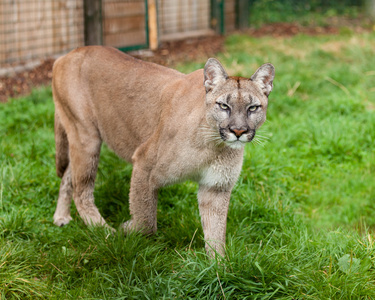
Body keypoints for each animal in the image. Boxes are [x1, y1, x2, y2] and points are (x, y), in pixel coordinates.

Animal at [52, 46, 276, 255]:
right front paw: (128, 228)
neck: (214, 146)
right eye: (223, 106)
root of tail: (68, 54)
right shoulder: (144, 164)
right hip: (86, 136)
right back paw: (106, 232)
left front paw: (219, 267)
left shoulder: (215, 187)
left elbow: (216, 234)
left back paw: (61, 217)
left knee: (68, 176)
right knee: (81, 190)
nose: (238, 130)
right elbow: (146, 220)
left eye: (253, 108)